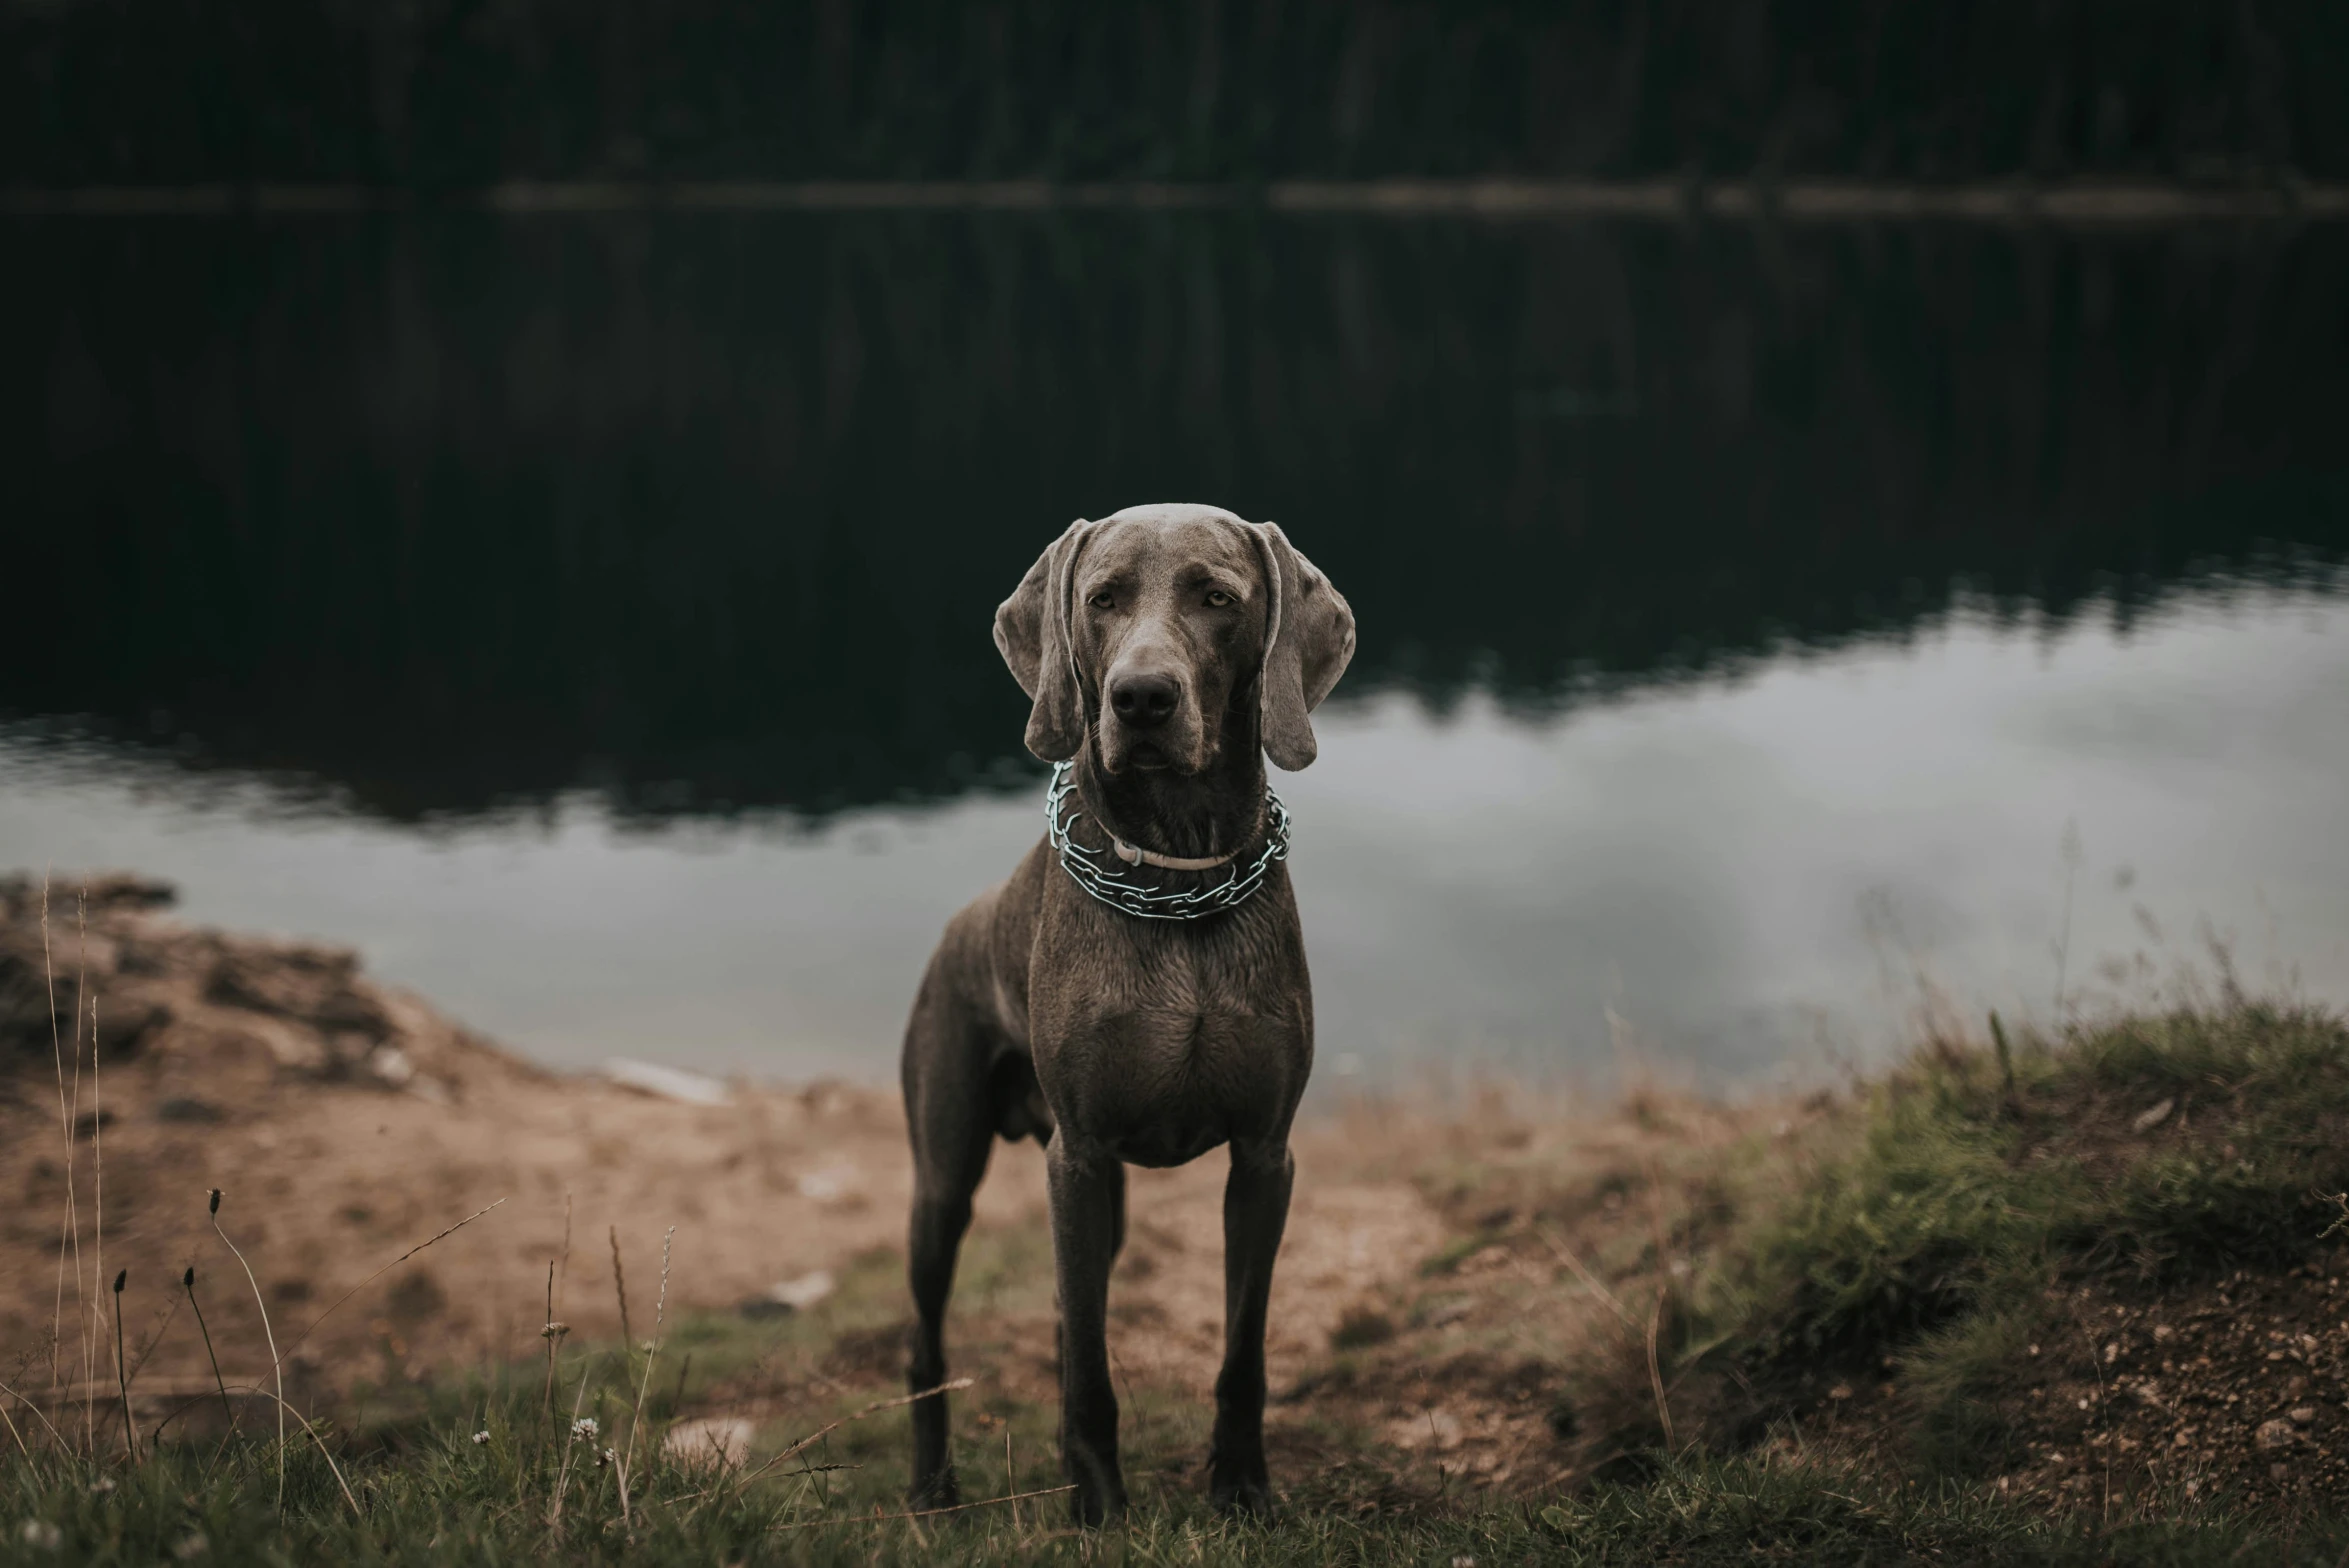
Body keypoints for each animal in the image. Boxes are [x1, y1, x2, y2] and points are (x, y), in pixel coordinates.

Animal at [897, 499, 1362, 1521]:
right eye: (1101, 599)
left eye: (1217, 598)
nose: (1140, 699)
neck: (1176, 877)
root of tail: (951, 929)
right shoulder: (1076, 1157)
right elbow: (1088, 1367)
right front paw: (1100, 1506)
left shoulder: (1263, 1157)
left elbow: (1241, 1349)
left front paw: (1242, 1487)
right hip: (944, 1175)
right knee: (927, 1336)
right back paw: (932, 1487)